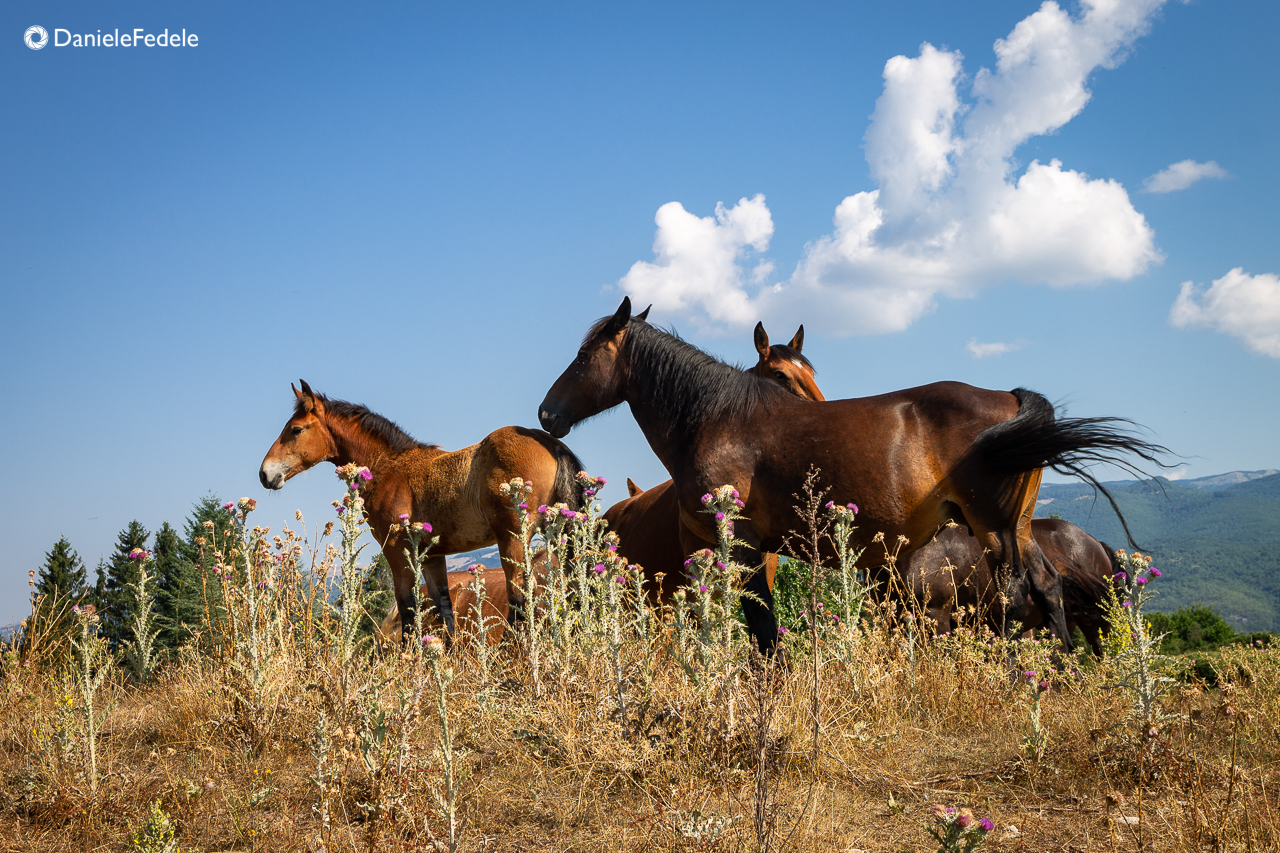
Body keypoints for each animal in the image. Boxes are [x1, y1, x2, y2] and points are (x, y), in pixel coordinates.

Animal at [259, 381, 584, 641]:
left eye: (296, 430)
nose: (265, 474)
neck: (387, 467)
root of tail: (550, 443)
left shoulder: (396, 550)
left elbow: (408, 611)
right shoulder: (432, 557)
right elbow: (444, 613)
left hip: (513, 538)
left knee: (520, 596)